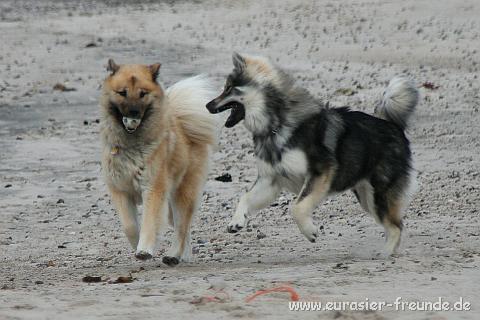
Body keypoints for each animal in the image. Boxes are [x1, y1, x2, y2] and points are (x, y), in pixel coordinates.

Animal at [100, 59, 218, 264]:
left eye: (142, 93)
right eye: (122, 92)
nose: (133, 112)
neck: (132, 143)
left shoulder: (153, 188)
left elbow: (149, 222)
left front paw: (144, 249)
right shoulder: (120, 190)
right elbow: (129, 226)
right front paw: (136, 244)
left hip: (182, 194)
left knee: (181, 228)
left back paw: (173, 255)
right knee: (183, 228)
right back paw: (184, 255)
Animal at [208, 54, 418, 255]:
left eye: (228, 89)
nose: (207, 106)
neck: (276, 126)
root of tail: (393, 126)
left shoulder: (319, 172)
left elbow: (297, 207)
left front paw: (309, 231)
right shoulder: (270, 180)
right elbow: (245, 197)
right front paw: (237, 221)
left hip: (379, 196)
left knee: (396, 227)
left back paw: (385, 255)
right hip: (367, 198)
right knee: (394, 225)